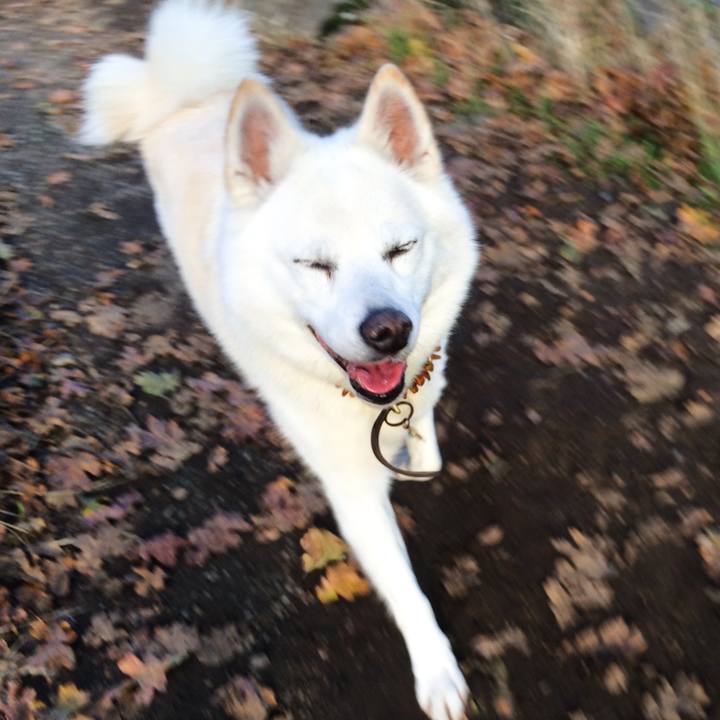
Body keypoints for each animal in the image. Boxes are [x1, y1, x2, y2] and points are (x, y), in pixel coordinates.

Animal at [81, 1, 478, 717]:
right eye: (314, 264)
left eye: (400, 250)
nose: (388, 331)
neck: (371, 406)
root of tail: (192, 95)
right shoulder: (352, 492)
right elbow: (406, 590)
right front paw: (436, 672)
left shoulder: (424, 376)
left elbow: (427, 424)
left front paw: (421, 453)